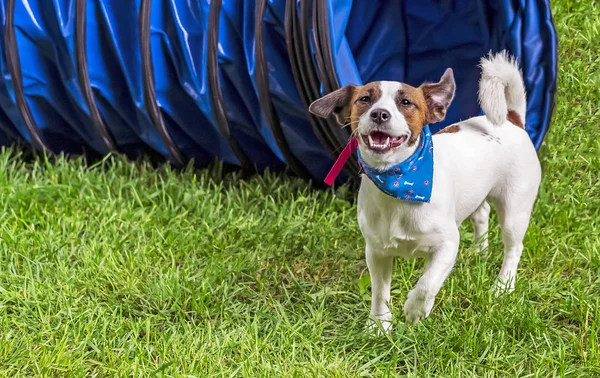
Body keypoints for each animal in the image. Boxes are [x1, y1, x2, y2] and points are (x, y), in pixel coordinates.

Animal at [310, 51, 544, 330]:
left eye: (406, 102)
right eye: (364, 99)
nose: (379, 114)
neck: (399, 183)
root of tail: (512, 120)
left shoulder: (447, 245)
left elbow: (427, 282)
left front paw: (415, 309)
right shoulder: (376, 252)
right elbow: (379, 292)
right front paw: (379, 325)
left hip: (514, 211)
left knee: (513, 248)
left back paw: (503, 285)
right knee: (481, 214)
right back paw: (479, 251)